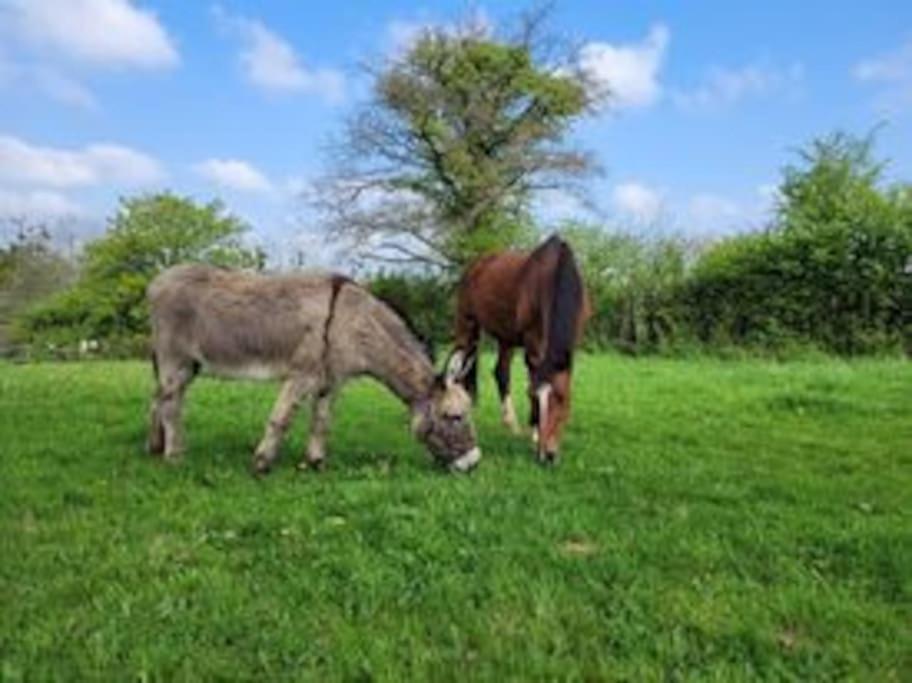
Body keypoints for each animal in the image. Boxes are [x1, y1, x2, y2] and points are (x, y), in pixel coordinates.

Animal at [450, 235, 592, 464]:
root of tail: (475, 265)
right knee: (456, 364)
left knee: (500, 372)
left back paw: (510, 423)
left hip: (505, 338)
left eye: (561, 398)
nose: (547, 455)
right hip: (466, 326)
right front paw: (534, 433)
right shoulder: (532, 344)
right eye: (534, 397)